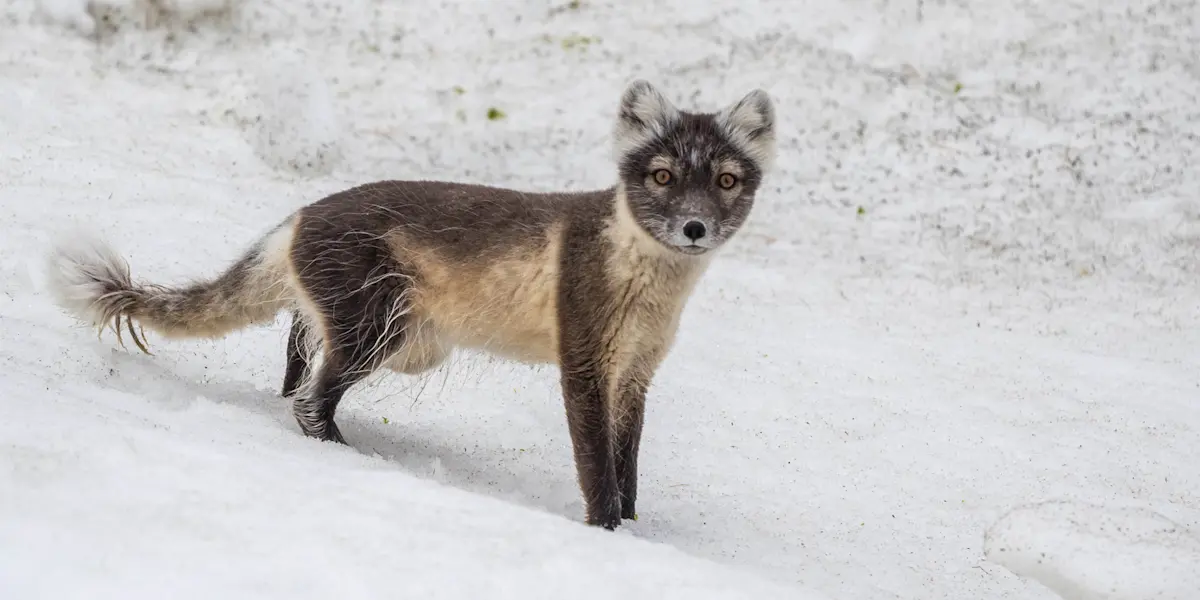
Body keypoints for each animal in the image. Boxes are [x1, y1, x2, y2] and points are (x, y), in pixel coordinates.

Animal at [45, 80, 776, 529]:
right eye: (662, 175)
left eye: (726, 180)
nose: (694, 228)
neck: (650, 292)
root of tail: (294, 219)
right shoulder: (585, 358)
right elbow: (597, 463)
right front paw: (606, 532)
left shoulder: (638, 371)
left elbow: (629, 462)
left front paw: (631, 525)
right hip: (378, 327)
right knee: (311, 401)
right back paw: (345, 452)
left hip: (407, 343)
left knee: (298, 353)